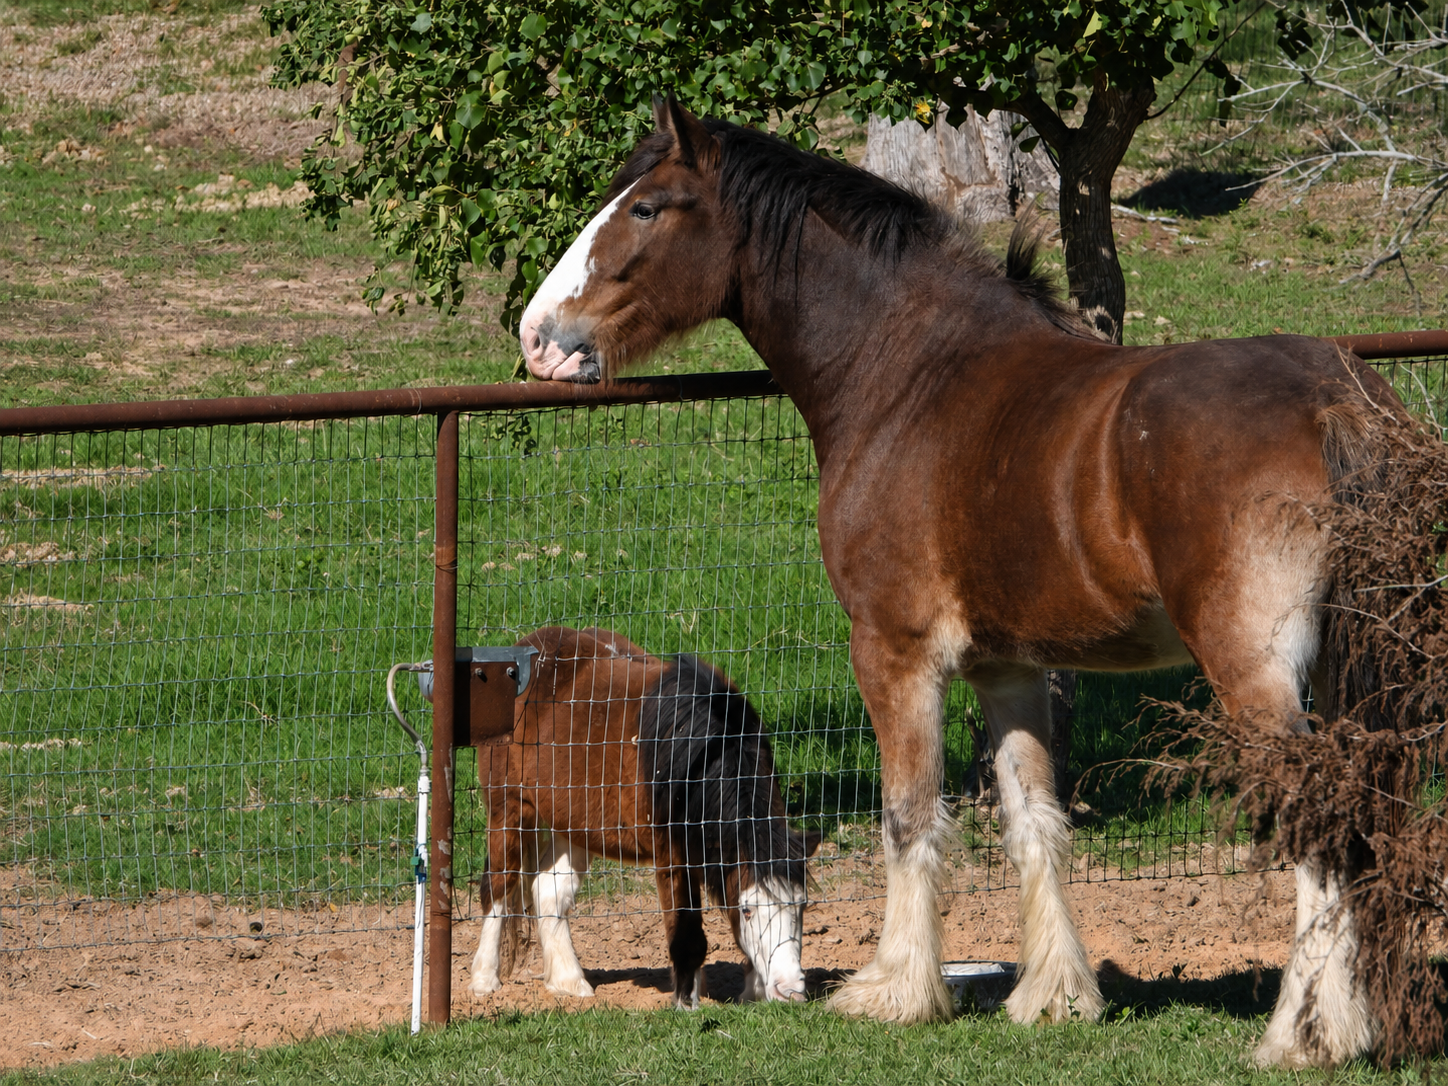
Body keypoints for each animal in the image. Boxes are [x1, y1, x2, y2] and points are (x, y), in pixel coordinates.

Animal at [467, 625, 822, 1008]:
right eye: (748, 910)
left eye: (801, 905)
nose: (790, 989)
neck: (700, 755)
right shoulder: (672, 857)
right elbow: (686, 932)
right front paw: (685, 1003)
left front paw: (753, 992)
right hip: (509, 808)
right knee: (499, 887)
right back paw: (484, 978)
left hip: (573, 822)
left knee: (548, 890)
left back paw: (568, 981)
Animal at [513, 97, 1411, 1067]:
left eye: (646, 208)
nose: (537, 337)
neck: (911, 374)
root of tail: (1336, 398)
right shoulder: (1006, 667)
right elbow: (1034, 823)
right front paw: (1054, 997)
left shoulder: (894, 652)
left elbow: (909, 817)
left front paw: (898, 991)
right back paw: (1349, 1022)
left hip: (1256, 674)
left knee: (1319, 820)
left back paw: (1299, 1037)